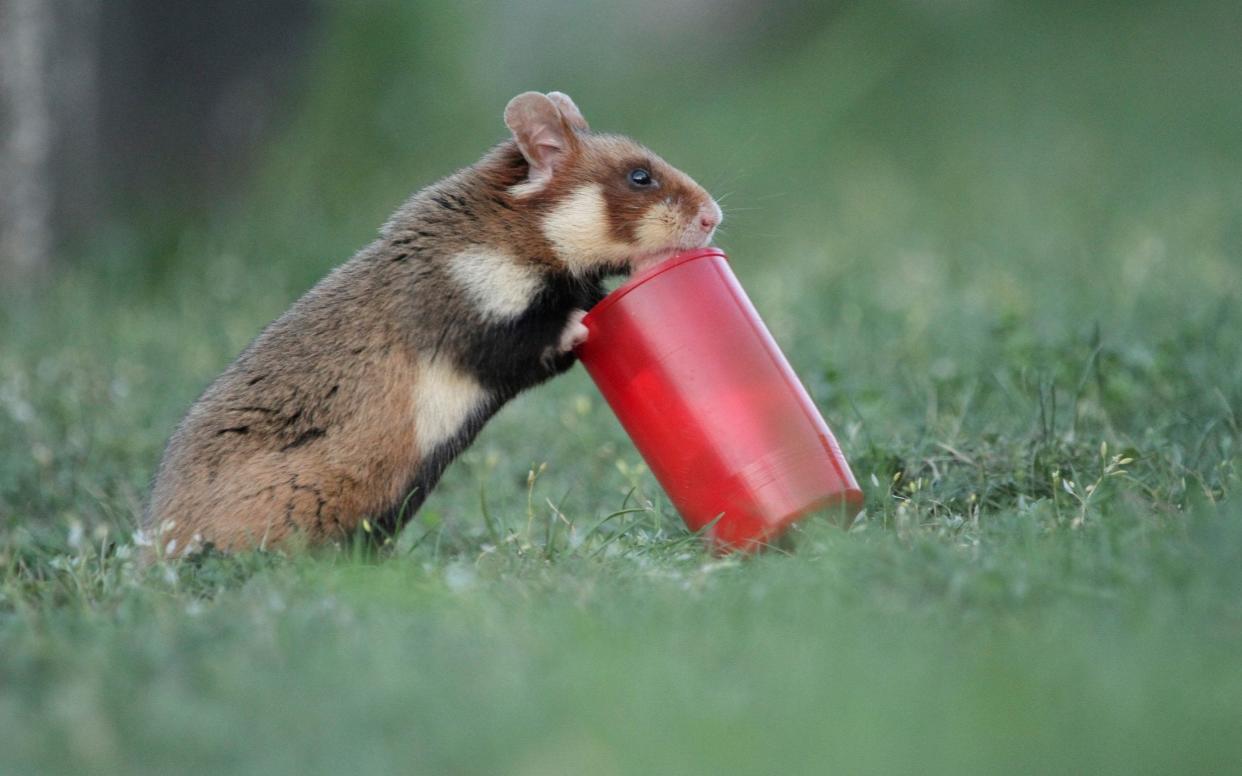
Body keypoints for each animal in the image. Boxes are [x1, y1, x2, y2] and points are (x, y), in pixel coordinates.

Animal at [145, 90, 725, 553]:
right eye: (640, 175)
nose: (713, 216)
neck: (505, 238)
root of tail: (151, 549)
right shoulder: (467, 311)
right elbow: (537, 336)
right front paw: (580, 320)